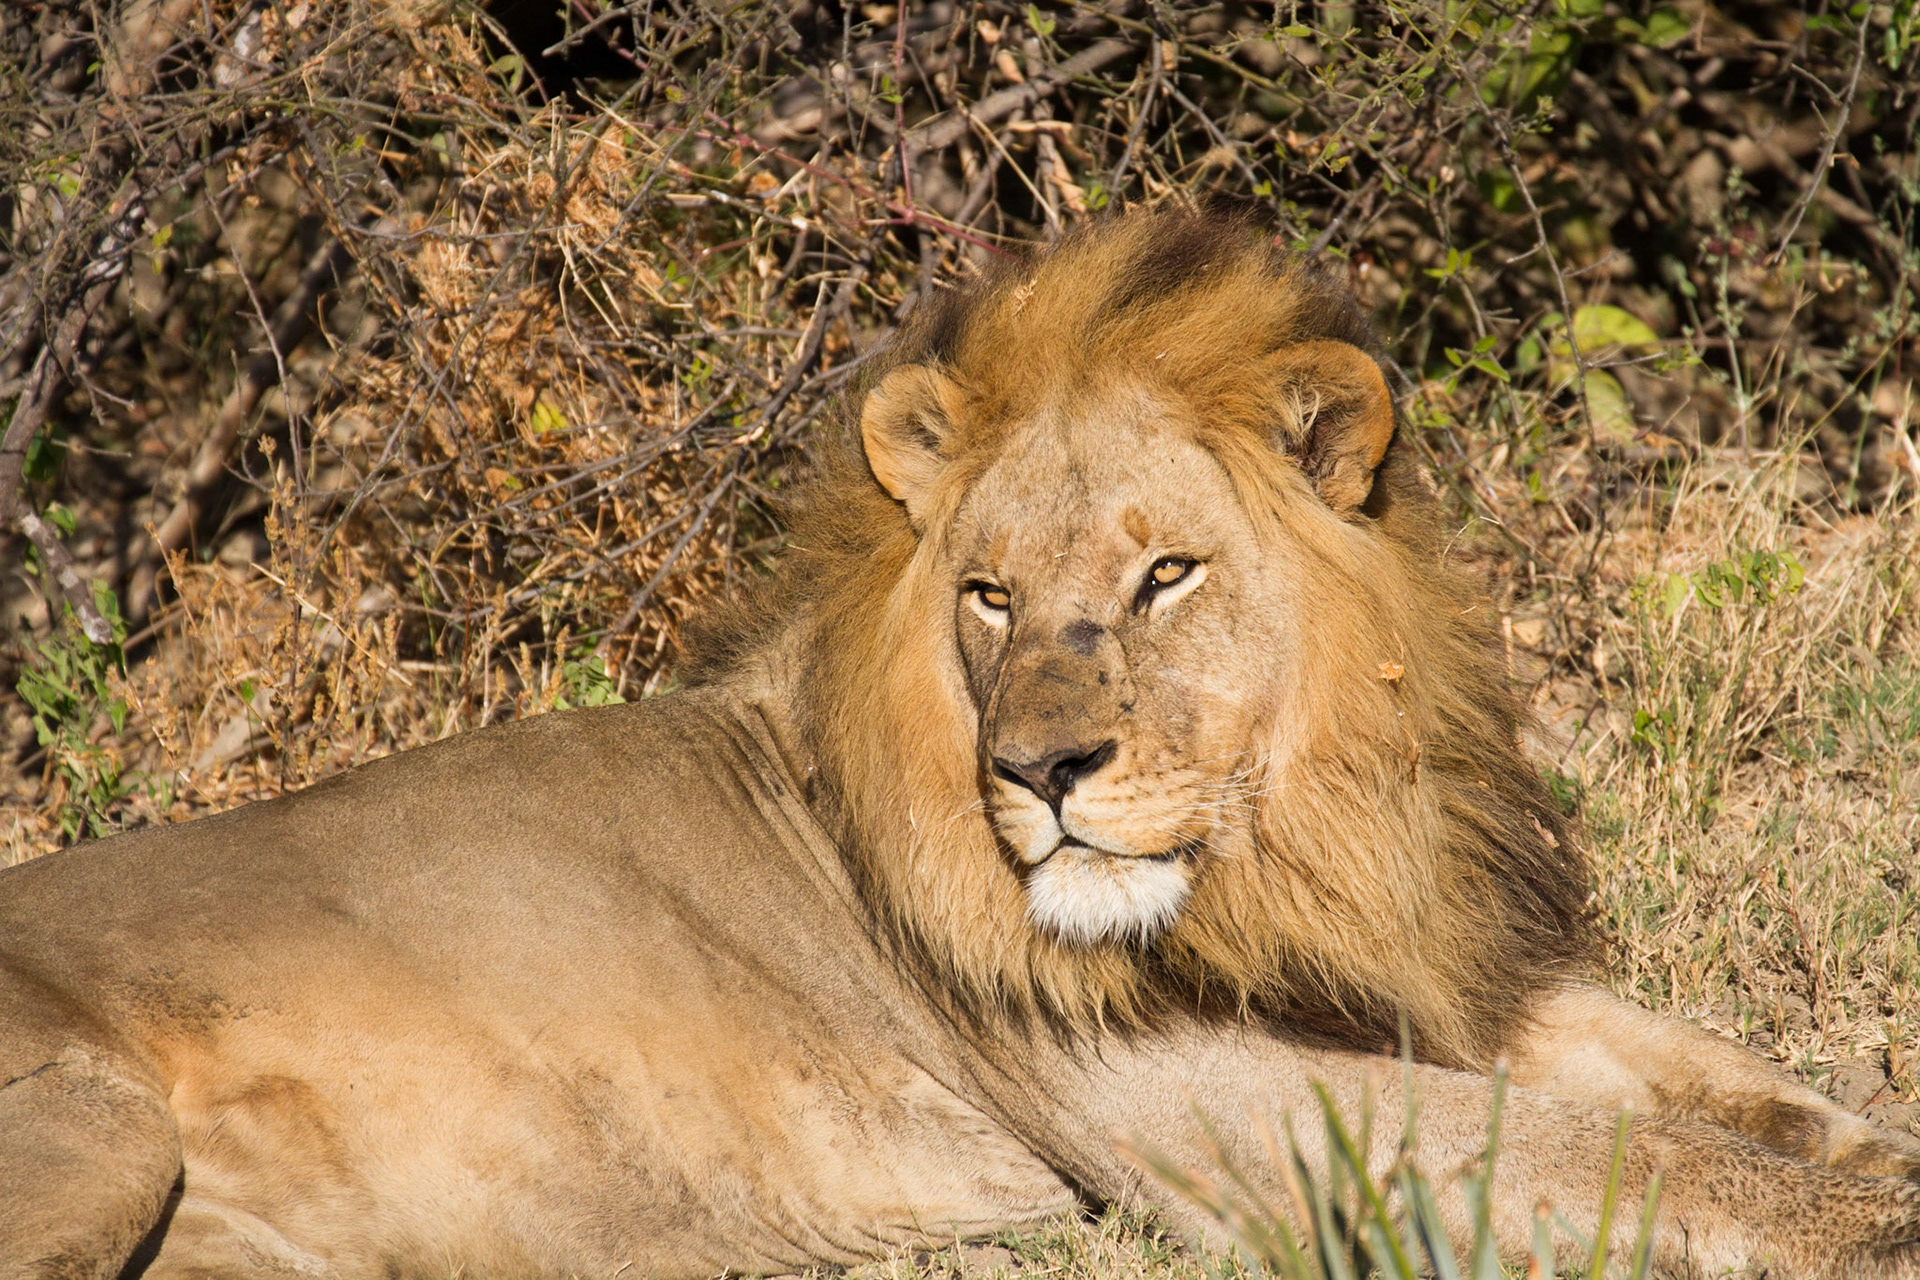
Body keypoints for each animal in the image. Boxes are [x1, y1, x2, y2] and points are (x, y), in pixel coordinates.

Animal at [2, 209, 1917, 1280]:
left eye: (1163, 575)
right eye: (988, 597)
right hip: (99, 1129)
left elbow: (1739, 1086)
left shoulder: (1443, 982)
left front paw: (1879, 1154)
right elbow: (1630, 1156)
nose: (1042, 776)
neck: (1297, 840)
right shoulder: (1214, 1111)